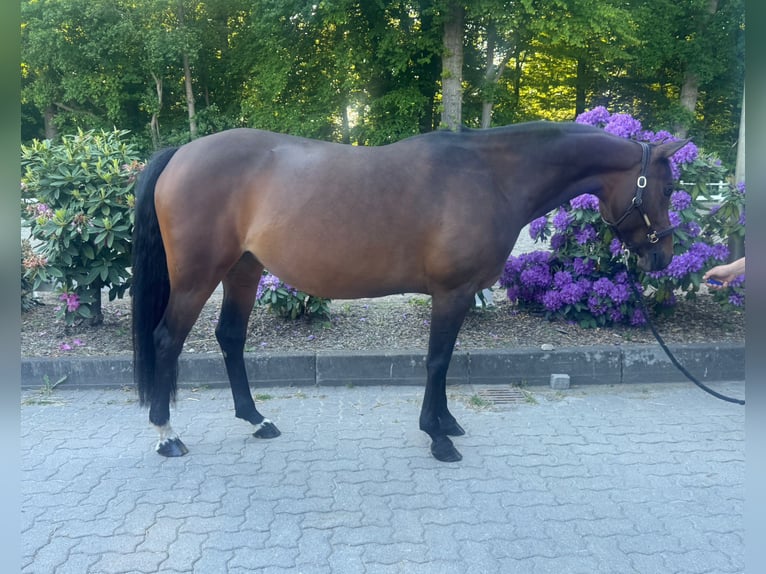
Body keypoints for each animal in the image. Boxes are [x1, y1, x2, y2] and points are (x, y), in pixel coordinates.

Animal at [131, 121, 686, 462]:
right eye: (665, 188)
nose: (662, 256)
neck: (492, 177)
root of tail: (181, 154)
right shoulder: (452, 292)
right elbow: (438, 360)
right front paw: (438, 436)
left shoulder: (457, 295)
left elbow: (446, 361)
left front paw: (447, 422)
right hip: (198, 277)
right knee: (166, 340)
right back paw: (167, 435)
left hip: (243, 271)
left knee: (230, 338)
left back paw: (256, 420)